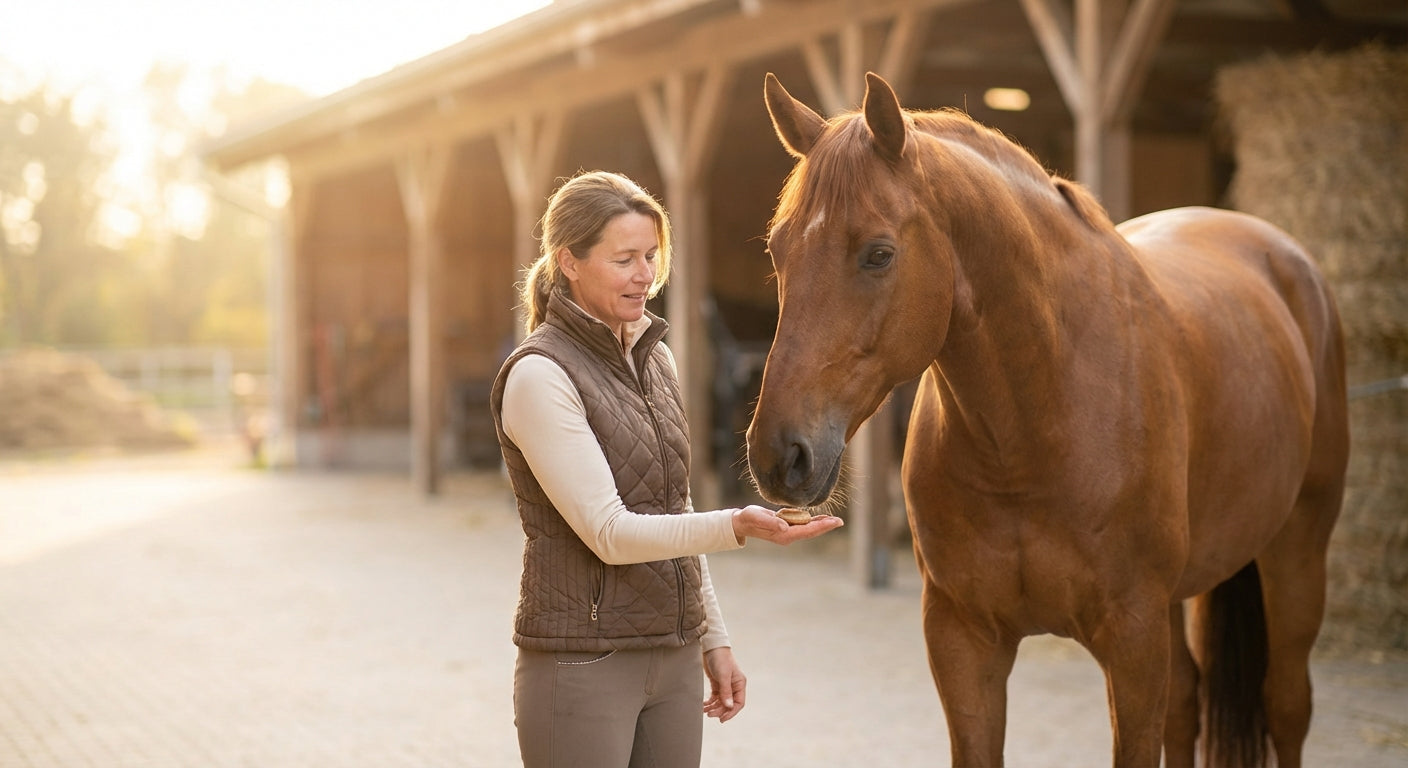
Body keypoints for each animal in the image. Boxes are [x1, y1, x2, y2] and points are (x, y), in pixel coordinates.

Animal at [745, 72, 1349, 768]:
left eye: (878, 254)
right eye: (778, 250)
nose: (779, 455)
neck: (1034, 433)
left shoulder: (1133, 643)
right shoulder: (963, 640)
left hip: (1295, 553)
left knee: (1286, 703)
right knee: (1187, 706)